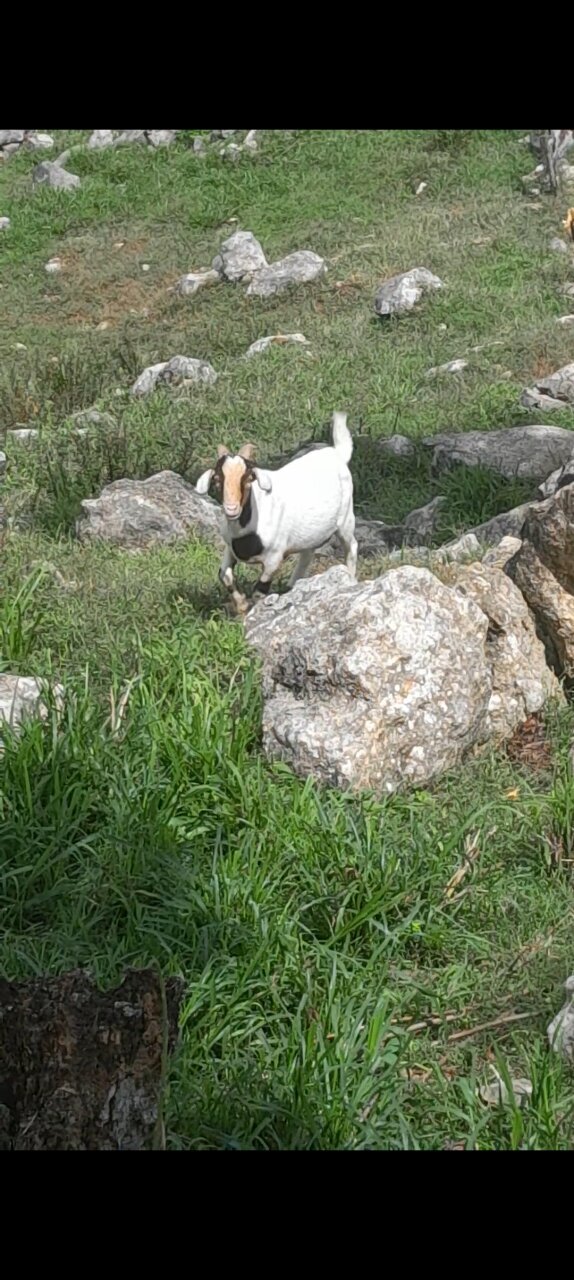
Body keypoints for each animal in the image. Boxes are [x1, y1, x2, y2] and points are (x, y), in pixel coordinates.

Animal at [195, 411, 358, 612]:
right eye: (217, 480)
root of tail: (338, 454)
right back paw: (292, 586)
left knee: (351, 546)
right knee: (307, 554)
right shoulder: (229, 547)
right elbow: (224, 575)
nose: (231, 509)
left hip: (346, 518)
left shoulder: (274, 558)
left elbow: (259, 590)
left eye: (249, 478)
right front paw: (241, 605)